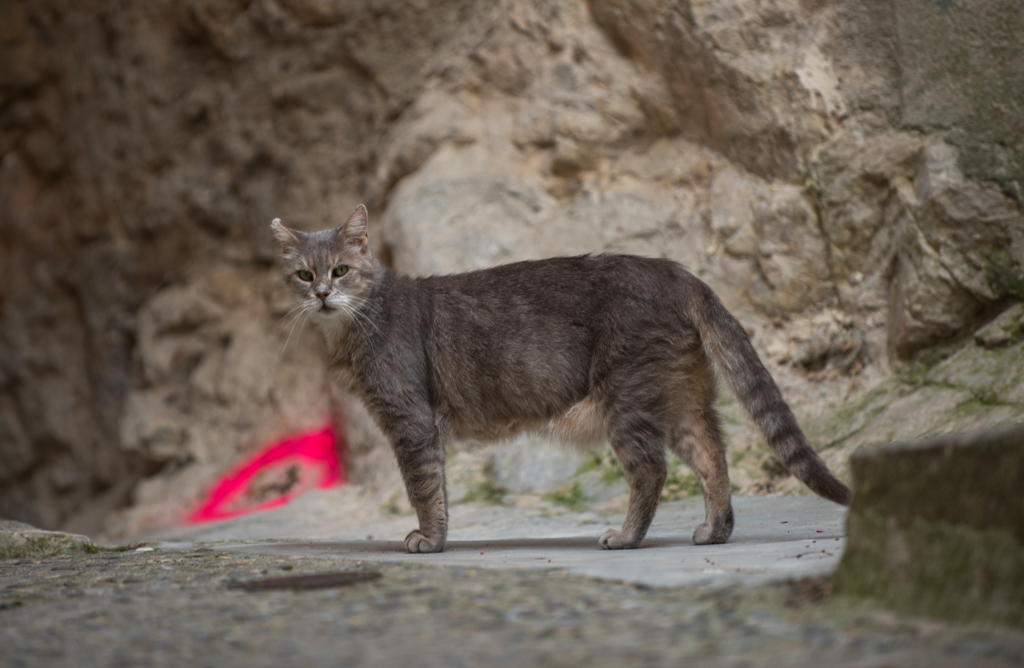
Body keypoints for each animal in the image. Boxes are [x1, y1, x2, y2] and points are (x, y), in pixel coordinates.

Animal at [270, 205, 847, 557]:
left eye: (341, 271)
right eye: (304, 274)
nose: (322, 294)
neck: (352, 329)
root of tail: (678, 271)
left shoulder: (410, 421)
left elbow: (424, 488)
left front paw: (430, 542)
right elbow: (439, 486)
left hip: (627, 398)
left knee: (652, 470)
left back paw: (626, 537)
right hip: (680, 398)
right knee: (712, 457)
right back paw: (714, 531)